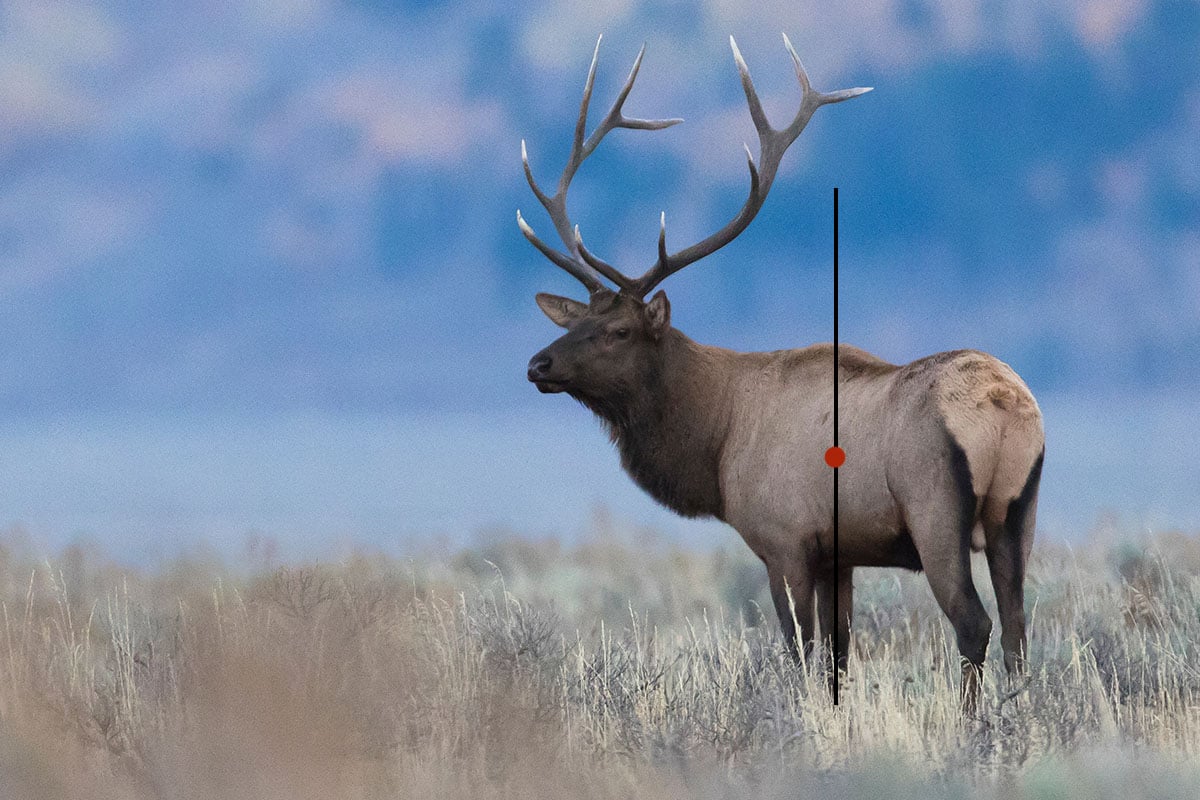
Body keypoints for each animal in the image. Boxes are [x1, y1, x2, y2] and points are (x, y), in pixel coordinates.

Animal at [520, 37, 1046, 714]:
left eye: (618, 332)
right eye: (578, 319)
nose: (538, 364)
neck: (715, 442)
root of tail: (1005, 405)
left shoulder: (784, 539)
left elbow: (803, 652)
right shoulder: (840, 552)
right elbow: (841, 652)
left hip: (936, 511)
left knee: (973, 623)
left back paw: (974, 719)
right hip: (1018, 514)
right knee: (1017, 626)